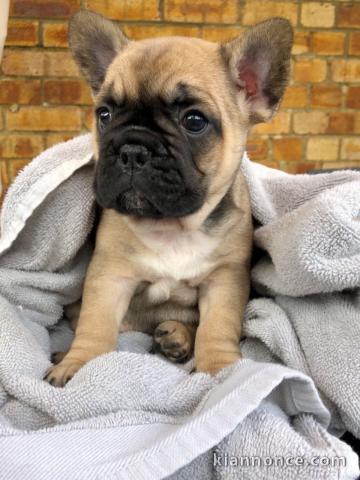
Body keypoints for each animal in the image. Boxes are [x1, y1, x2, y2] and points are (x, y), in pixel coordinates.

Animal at [45, 10, 292, 386]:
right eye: (104, 114)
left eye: (194, 121)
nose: (132, 149)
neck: (172, 228)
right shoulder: (110, 274)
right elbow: (95, 323)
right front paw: (79, 364)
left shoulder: (225, 279)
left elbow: (217, 327)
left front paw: (221, 370)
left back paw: (178, 336)